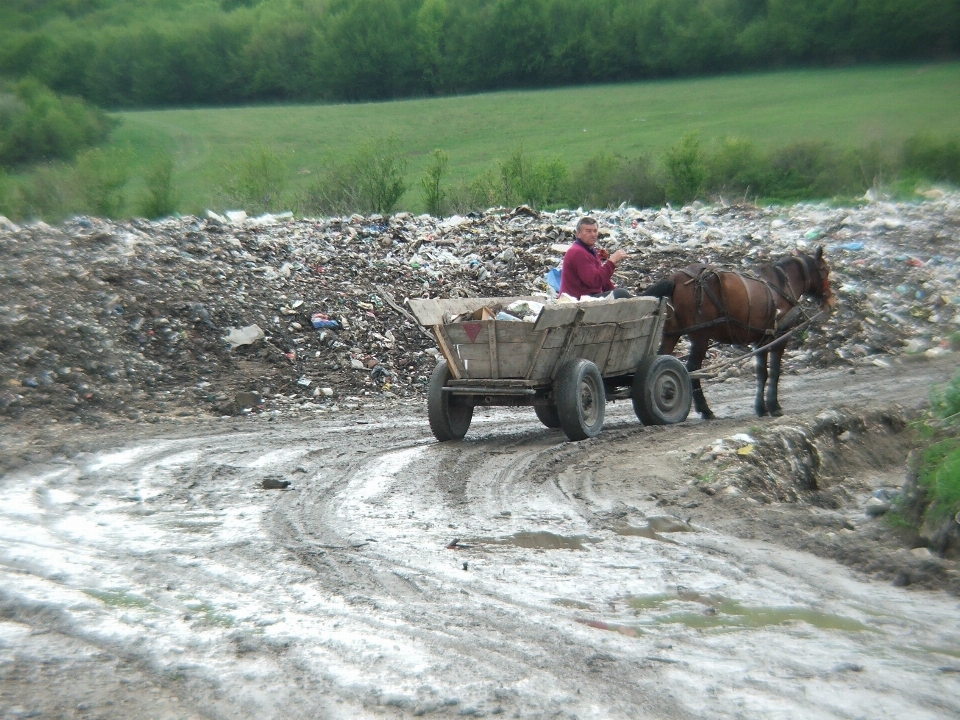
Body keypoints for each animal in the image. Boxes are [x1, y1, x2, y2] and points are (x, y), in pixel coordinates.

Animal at [640, 248, 836, 420]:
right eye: (825, 270)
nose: (831, 301)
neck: (782, 284)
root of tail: (675, 279)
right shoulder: (780, 337)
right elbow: (774, 372)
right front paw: (774, 406)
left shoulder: (762, 340)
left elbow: (762, 373)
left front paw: (761, 408)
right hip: (700, 336)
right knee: (692, 369)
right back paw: (705, 410)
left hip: (671, 333)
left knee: (661, 359)